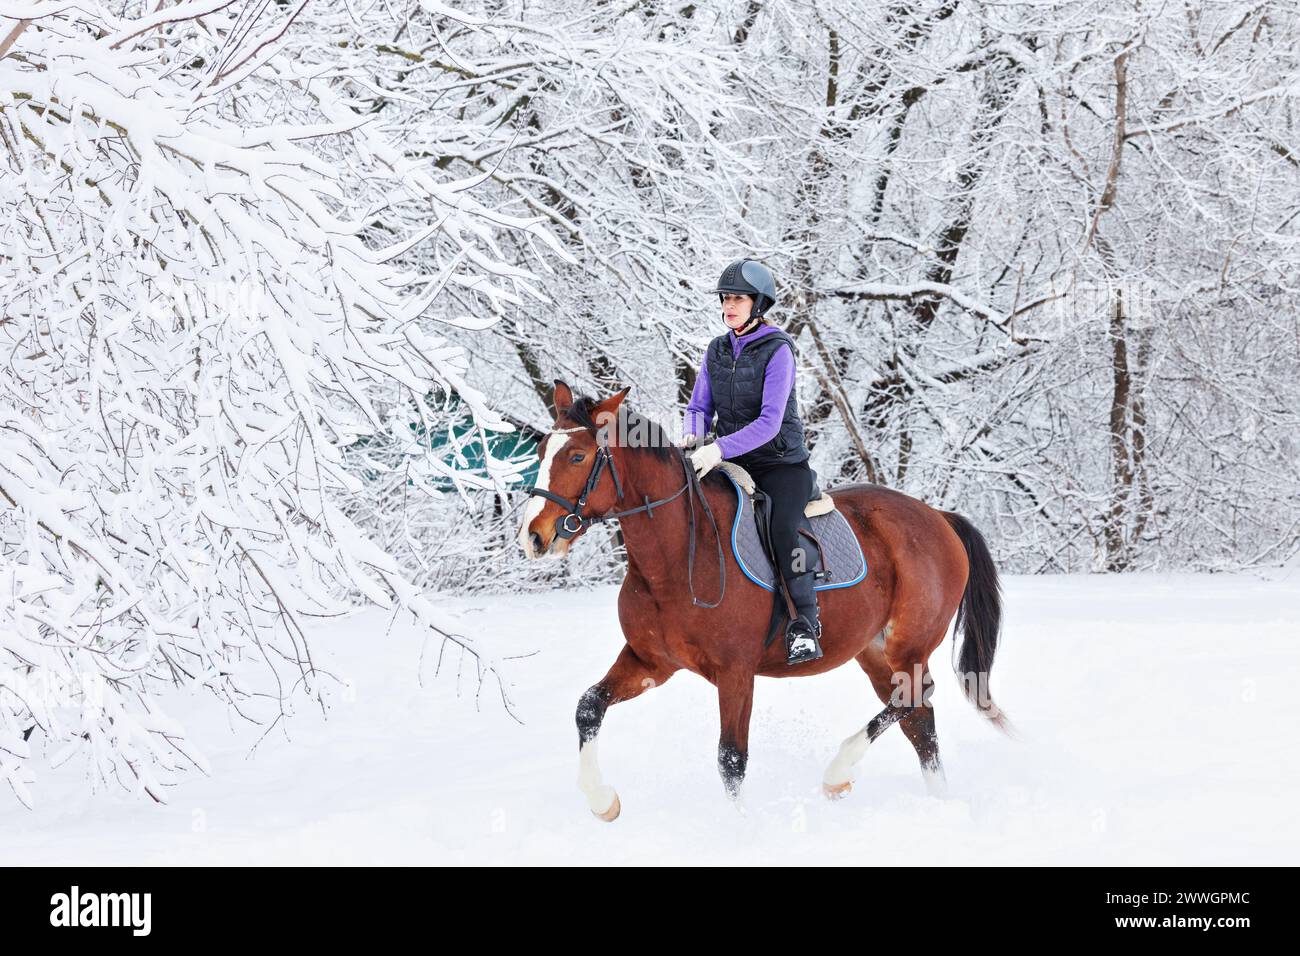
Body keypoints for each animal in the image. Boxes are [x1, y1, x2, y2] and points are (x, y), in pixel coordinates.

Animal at [512, 382, 1008, 822]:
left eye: (578, 456)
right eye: (540, 453)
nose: (533, 537)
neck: (677, 557)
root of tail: (937, 516)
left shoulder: (736, 673)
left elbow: (731, 759)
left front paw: (742, 829)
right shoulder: (650, 662)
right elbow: (588, 708)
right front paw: (602, 802)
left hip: (910, 643)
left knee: (915, 698)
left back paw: (838, 774)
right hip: (873, 651)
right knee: (918, 720)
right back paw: (937, 800)